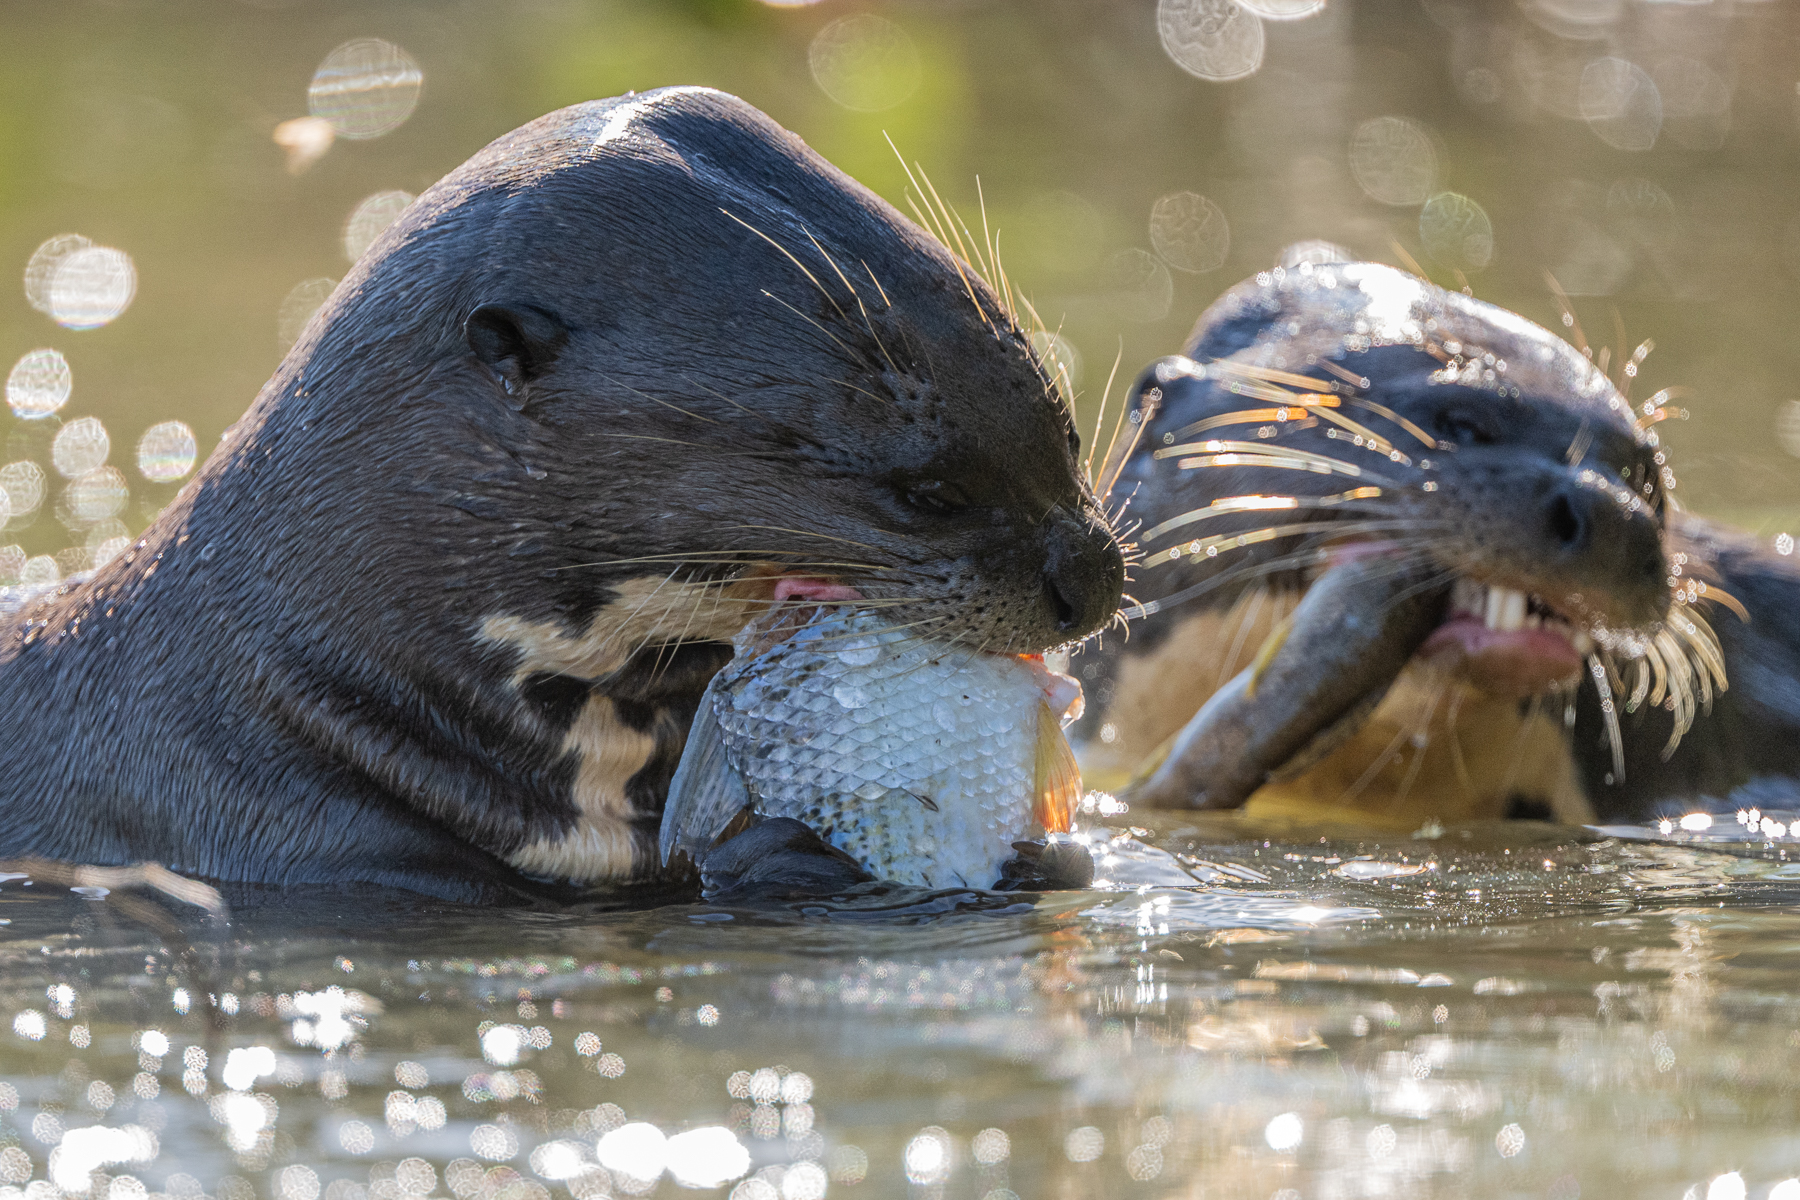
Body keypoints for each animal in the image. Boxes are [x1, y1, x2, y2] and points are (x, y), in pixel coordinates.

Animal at [0, 88, 1124, 901]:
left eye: (1063, 425)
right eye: (926, 490)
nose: (1090, 578)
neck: (278, 705)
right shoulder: (313, 849)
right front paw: (782, 856)